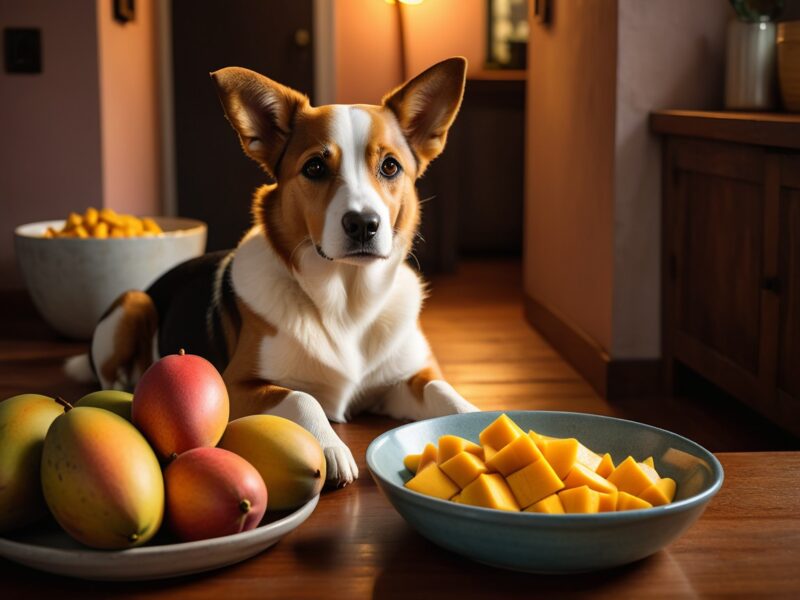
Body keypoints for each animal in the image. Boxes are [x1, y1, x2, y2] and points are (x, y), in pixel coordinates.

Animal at [65, 56, 478, 488]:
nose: (364, 224)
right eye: (315, 167)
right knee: (111, 376)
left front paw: (478, 421)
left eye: (390, 166)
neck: (347, 302)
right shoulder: (235, 384)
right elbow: (302, 396)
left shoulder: (404, 380)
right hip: (133, 303)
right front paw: (329, 445)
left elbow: (443, 390)